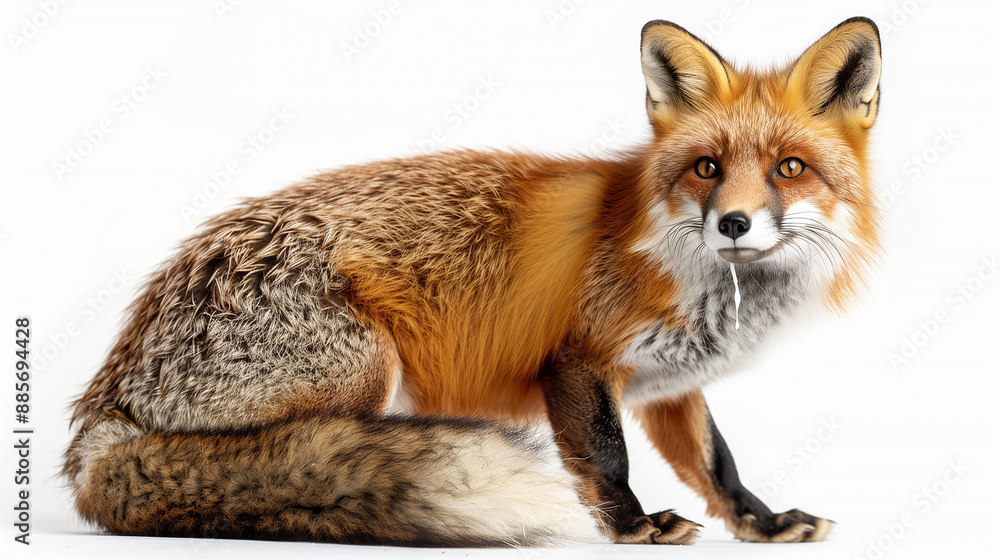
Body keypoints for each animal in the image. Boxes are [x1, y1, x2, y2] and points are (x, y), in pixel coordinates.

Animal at [64, 17, 882, 547]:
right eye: (707, 168)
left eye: (790, 168)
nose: (735, 224)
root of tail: (101, 419)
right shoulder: (577, 361)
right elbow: (607, 457)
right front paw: (631, 526)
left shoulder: (670, 385)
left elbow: (717, 461)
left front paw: (763, 523)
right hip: (366, 370)